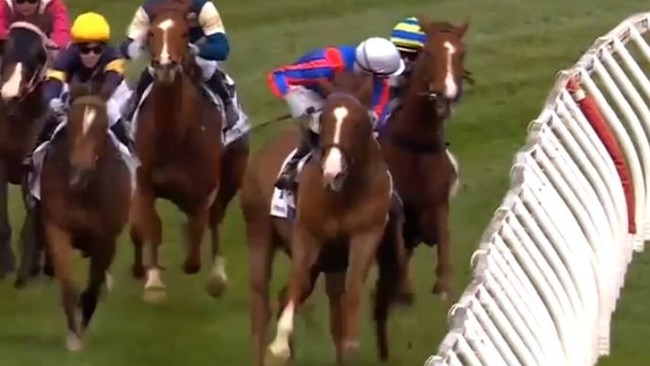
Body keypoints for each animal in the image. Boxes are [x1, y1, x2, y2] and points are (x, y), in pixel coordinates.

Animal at [38, 86, 132, 352]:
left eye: (102, 126)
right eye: (71, 122)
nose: (79, 172)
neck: (83, 190)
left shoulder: (105, 236)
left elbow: (92, 290)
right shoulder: (56, 227)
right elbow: (67, 285)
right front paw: (73, 337)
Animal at [128, 0, 229, 302]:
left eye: (185, 34)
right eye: (151, 33)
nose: (165, 67)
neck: (173, 138)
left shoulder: (205, 190)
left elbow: (195, 248)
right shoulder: (145, 183)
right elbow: (152, 227)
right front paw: (153, 283)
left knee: (215, 220)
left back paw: (218, 276)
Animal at [240, 71, 408, 366]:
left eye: (358, 123)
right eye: (325, 121)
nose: (332, 172)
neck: (343, 195)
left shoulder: (365, 235)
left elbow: (351, 292)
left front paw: (350, 344)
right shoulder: (308, 235)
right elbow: (296, 284)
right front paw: (279, 346)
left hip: (328, 262)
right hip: (260, 233)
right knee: (262, 305)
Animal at [378, 20, 468, 298]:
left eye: (461, 53)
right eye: (429, 53)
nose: (445, 94)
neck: (415, 144)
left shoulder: (438, 203)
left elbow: (442, 235)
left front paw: (443, 285)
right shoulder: (394, 205)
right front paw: (403, 288)